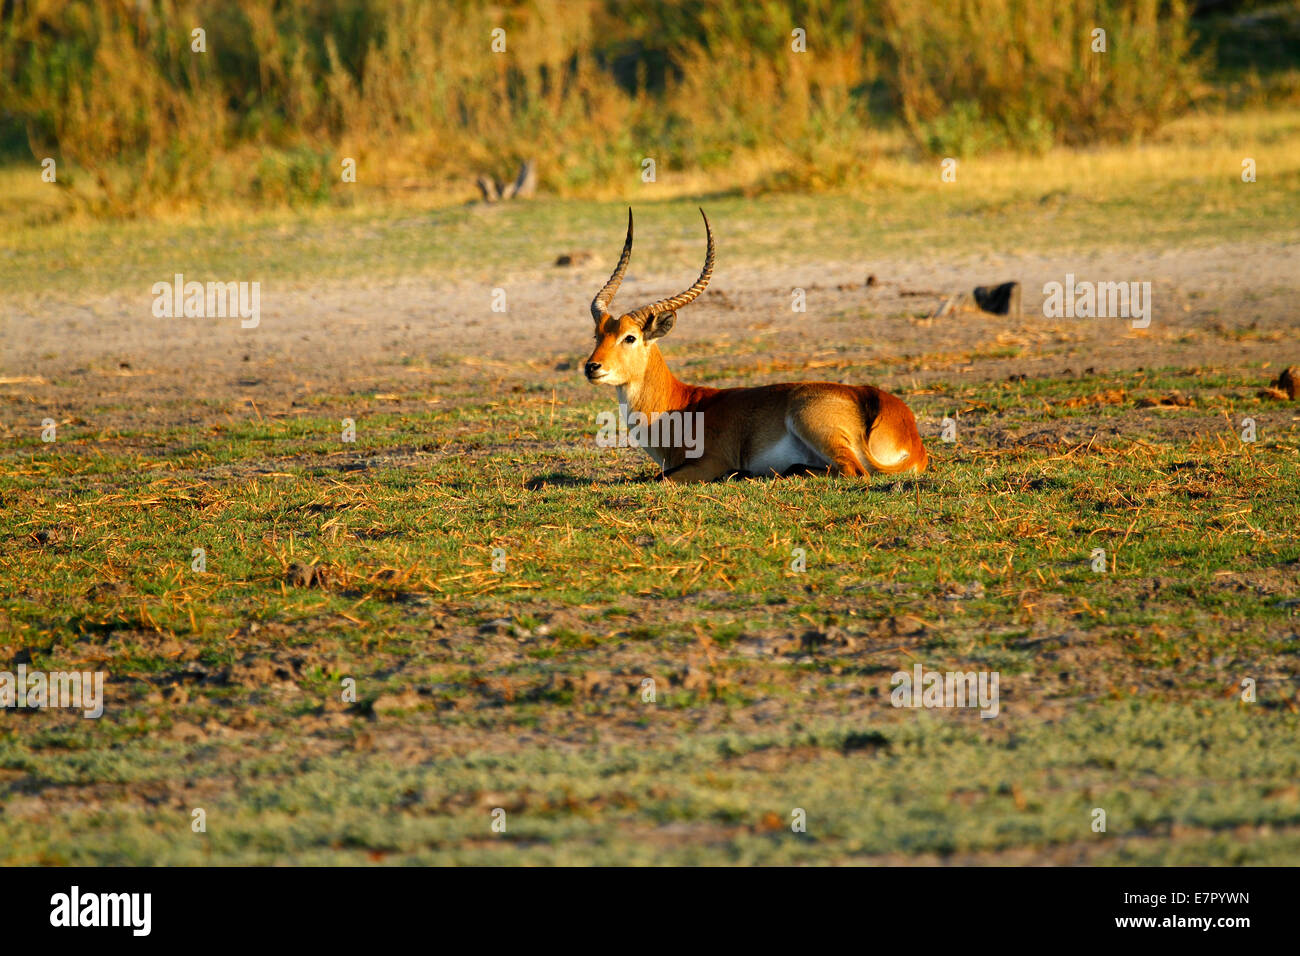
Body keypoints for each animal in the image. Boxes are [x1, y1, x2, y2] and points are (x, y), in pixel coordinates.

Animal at [585, 206, 930, 481]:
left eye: (630, 337)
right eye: (597, 334)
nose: (592, 367)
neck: (681, 406)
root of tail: (905, 427)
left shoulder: (708, 462)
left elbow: (657, 478)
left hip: (810, 422)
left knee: (853, 470)